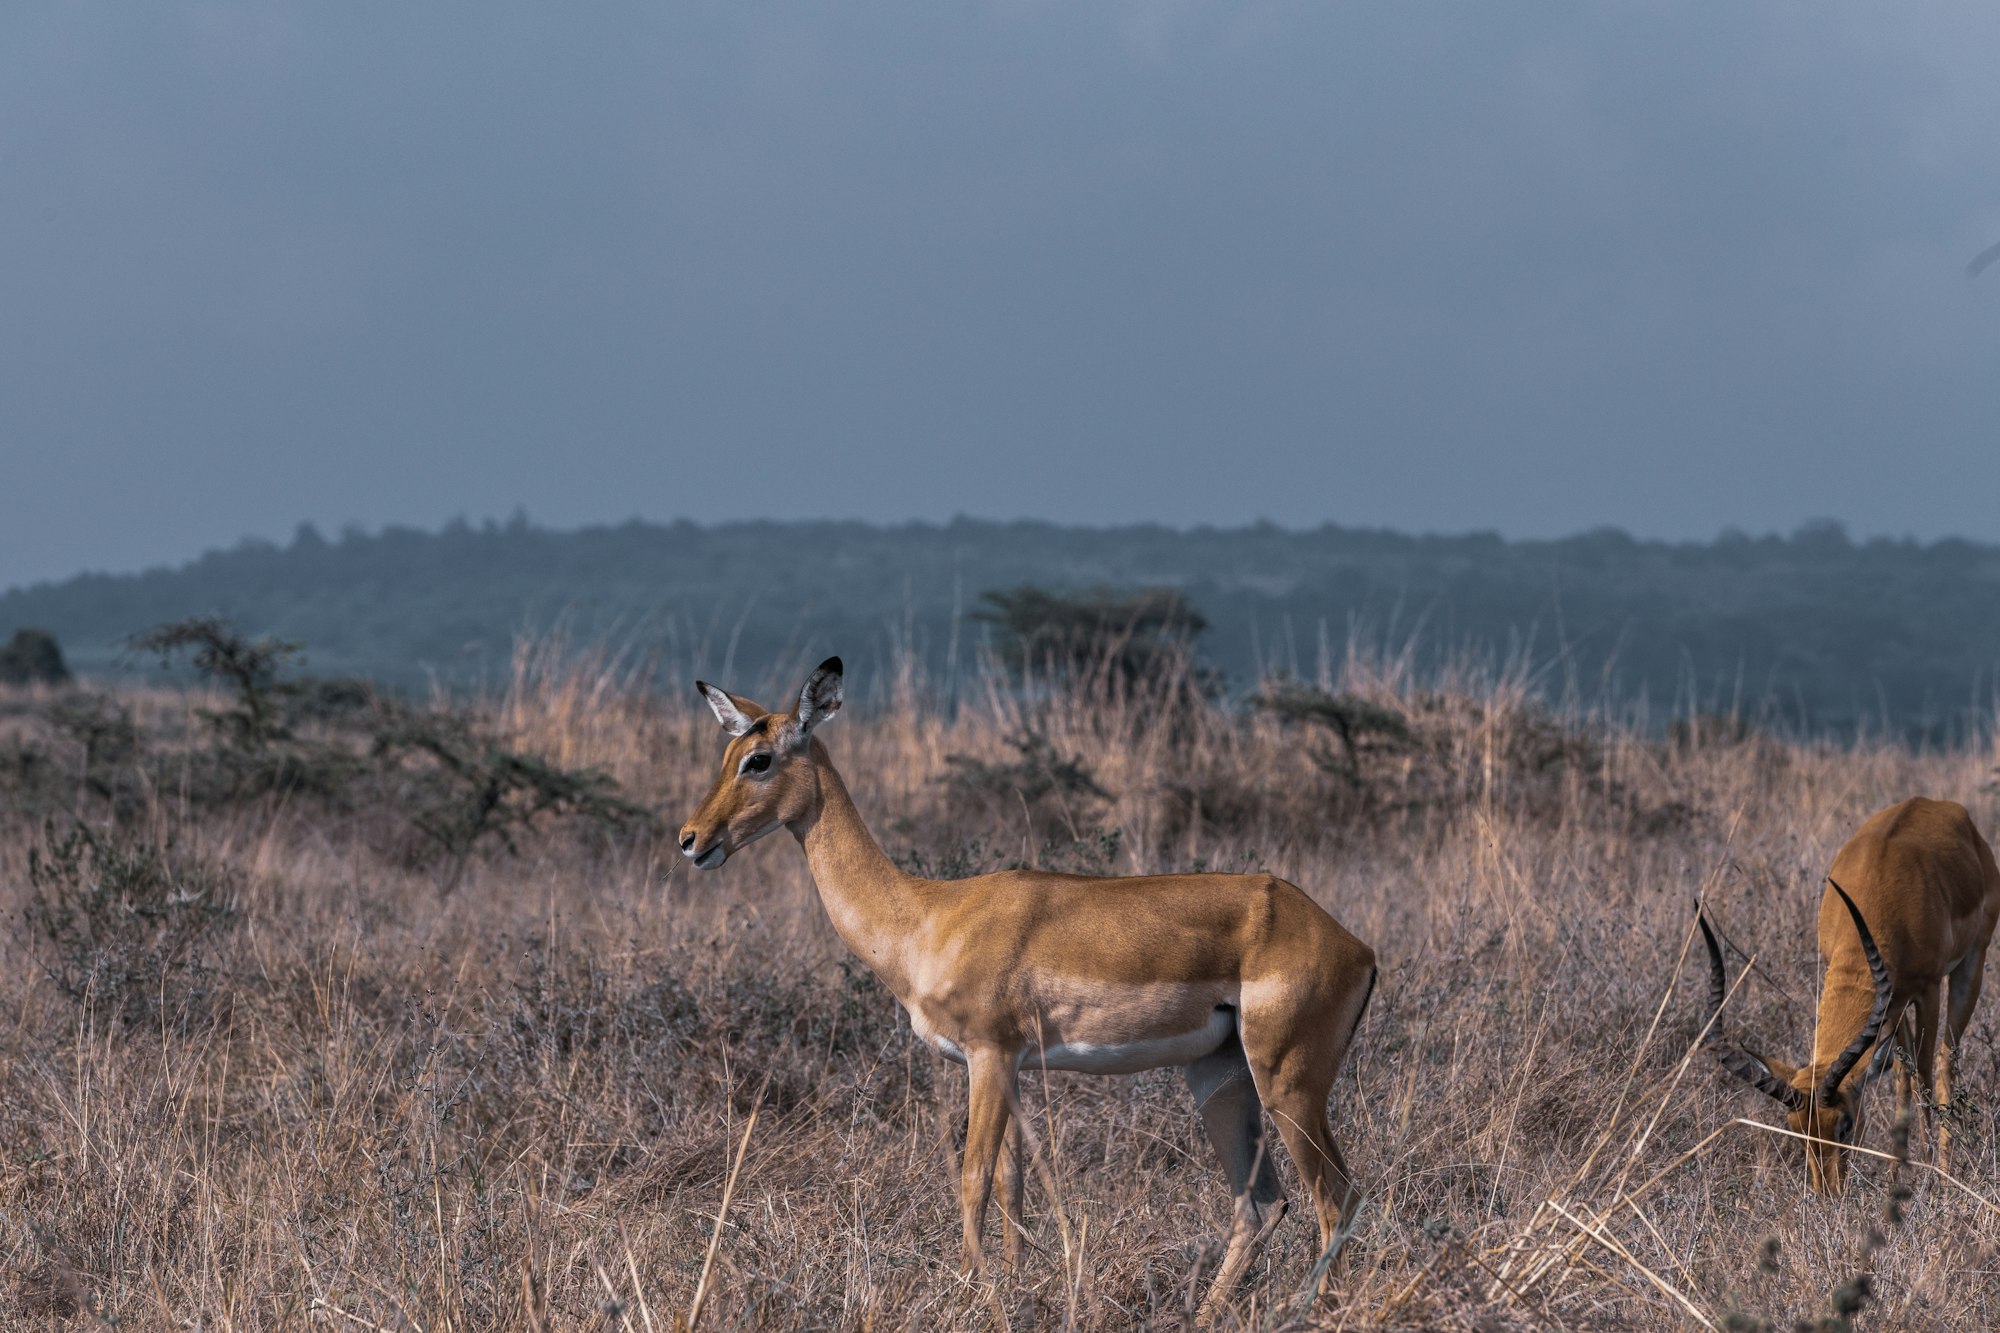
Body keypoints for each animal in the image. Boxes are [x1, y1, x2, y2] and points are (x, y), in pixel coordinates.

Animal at [677, 658, 1378, 1314]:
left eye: (760, 759)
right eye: (727, 754)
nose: (691, 840)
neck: (927, 916)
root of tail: (1355, 946)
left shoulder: (988, 1056)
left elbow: (972, 1179)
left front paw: (971, 1294)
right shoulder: (1011, 1068)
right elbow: (1013, 1186)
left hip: (1288, 1084)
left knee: (1336, 1200)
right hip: (1220, 1079)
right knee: (1262, 1206)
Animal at [1699, 797, 2000, 1193]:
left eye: (1845, 1124)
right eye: (1796, 1131)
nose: (1828, 1195)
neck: (1880, 885)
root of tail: (1944, 807)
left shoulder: (1928, 988)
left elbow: (1923, 1075)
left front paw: (1930, 1178)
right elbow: (1901, 1073)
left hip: (1971, 963)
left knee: (1944, 1059)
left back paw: (1945, 1170)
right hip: (1895, 1005)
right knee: (1901, 1070)